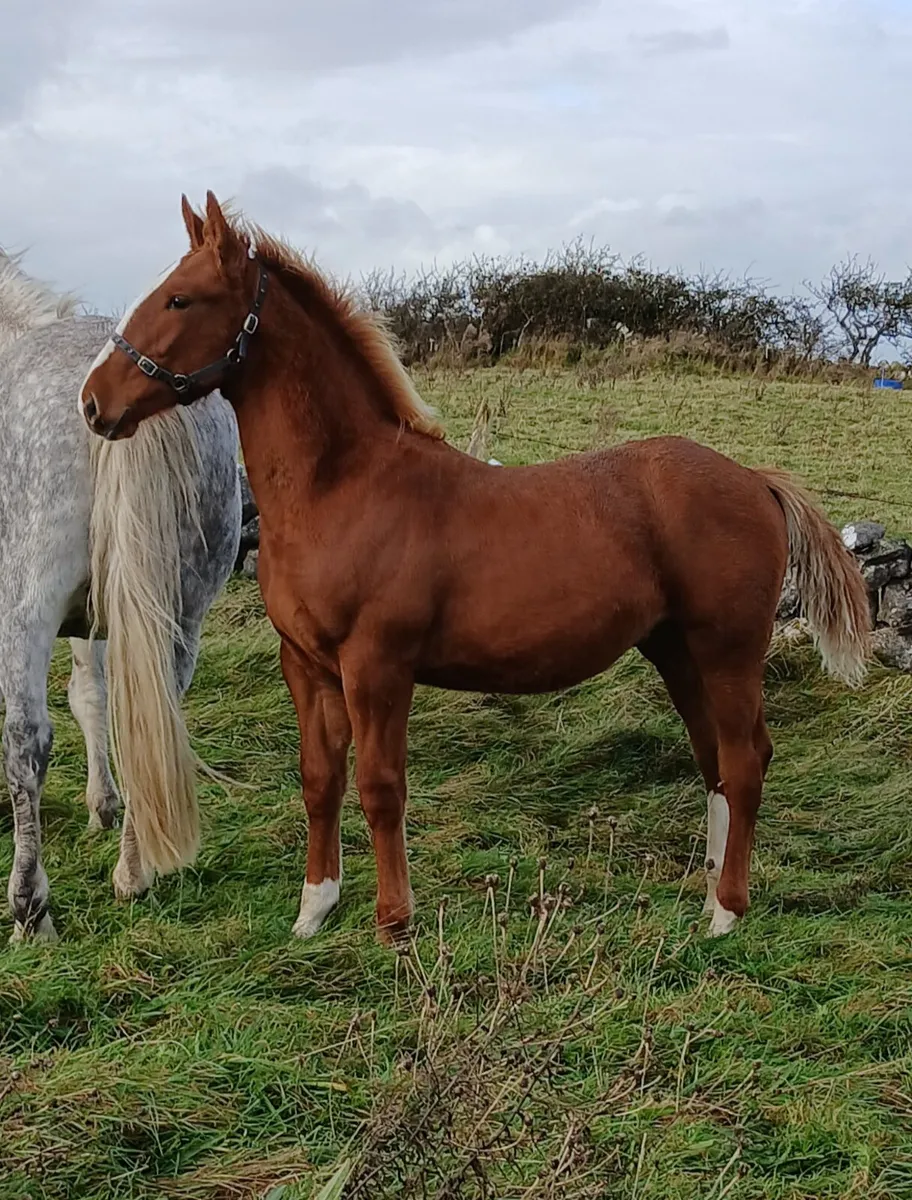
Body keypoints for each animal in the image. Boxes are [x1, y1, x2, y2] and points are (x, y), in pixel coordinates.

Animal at [0, 247, 242, 941]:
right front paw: (102, 806)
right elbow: (94, 699)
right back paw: (134, 874)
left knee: (27, 741)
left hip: (24, 610)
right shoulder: (96, 624)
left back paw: (30, 909)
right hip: (178, 616)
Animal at [78, 192, 870, 944]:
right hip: (677, 651)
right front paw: (314, 910)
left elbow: (380, 787)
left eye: (181, 298)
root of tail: (755, 479)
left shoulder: (377, 666)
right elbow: (319, 781)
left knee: (744, 762)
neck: (342, 486)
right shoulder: (305, 664)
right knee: (716, 763)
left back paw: (728, 914)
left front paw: (394, 924)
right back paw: (708, 902)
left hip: (727, 652)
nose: (94, 402)